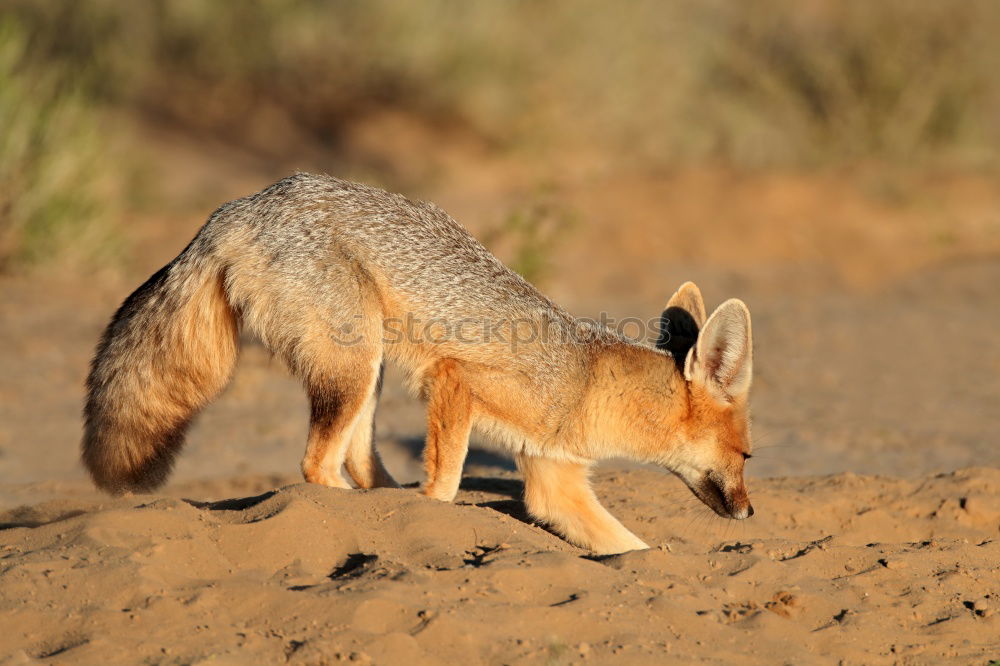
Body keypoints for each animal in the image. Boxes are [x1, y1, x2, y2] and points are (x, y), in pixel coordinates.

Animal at [86, 174, 752, 552]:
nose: (750, 512)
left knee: (357, 459)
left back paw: (384, 498)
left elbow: (627, 546)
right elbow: (448, 482)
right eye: (747, 456)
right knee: (317, 465)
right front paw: (432, 509)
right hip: (355, 365)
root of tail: (240, 204)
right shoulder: (457, 382)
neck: (587, 384)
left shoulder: (553, 478)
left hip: (367, 370)